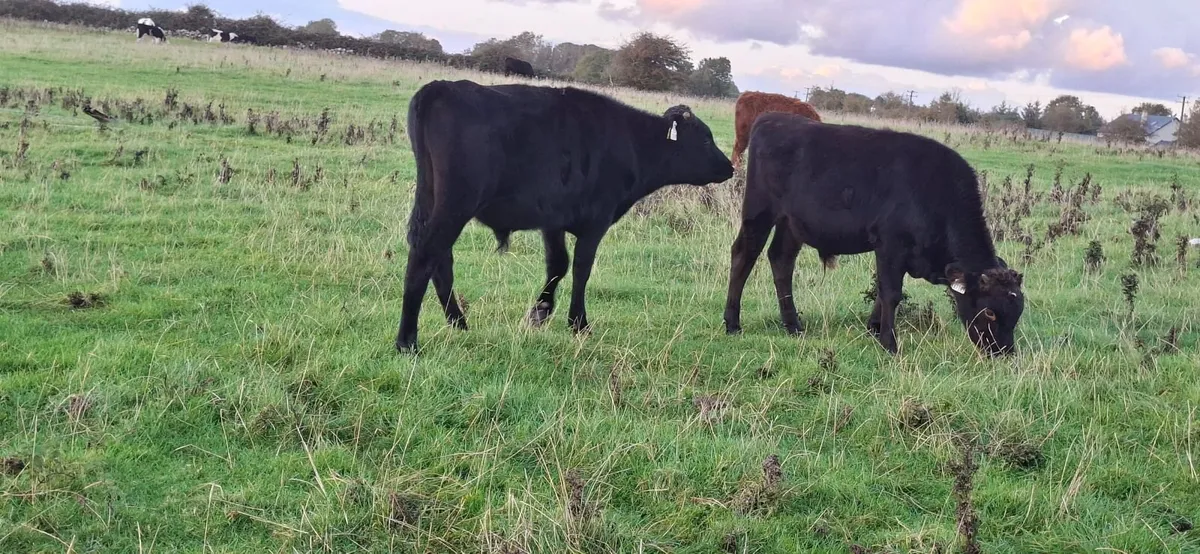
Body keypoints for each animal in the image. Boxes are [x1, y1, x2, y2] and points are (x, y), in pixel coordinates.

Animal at [395, 79, 735, 352]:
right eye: (706, 138)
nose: (730, 167)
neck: (632, 142)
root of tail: (442, 87)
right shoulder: (596, 221)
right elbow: (581, 268)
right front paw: (579, 323)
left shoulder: (553, 220)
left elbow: (558, 264)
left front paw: (540, 311)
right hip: (456, 204)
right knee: (427, 255)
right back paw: (407, 340)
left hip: (433, 201)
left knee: (440, 259)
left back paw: (458, 322)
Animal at [722, 112, 1025, 356]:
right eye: (990, 312)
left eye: (1018, 311)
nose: (1004, 352)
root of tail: (772, 118)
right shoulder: (890, 245)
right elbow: (891, 293)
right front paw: (889, 343)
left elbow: (882, 292)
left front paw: (874, 327)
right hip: (759, 212)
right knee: (743, 255)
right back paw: (732, 322)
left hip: (791, 224)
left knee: (781, 261)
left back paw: (793, 325)